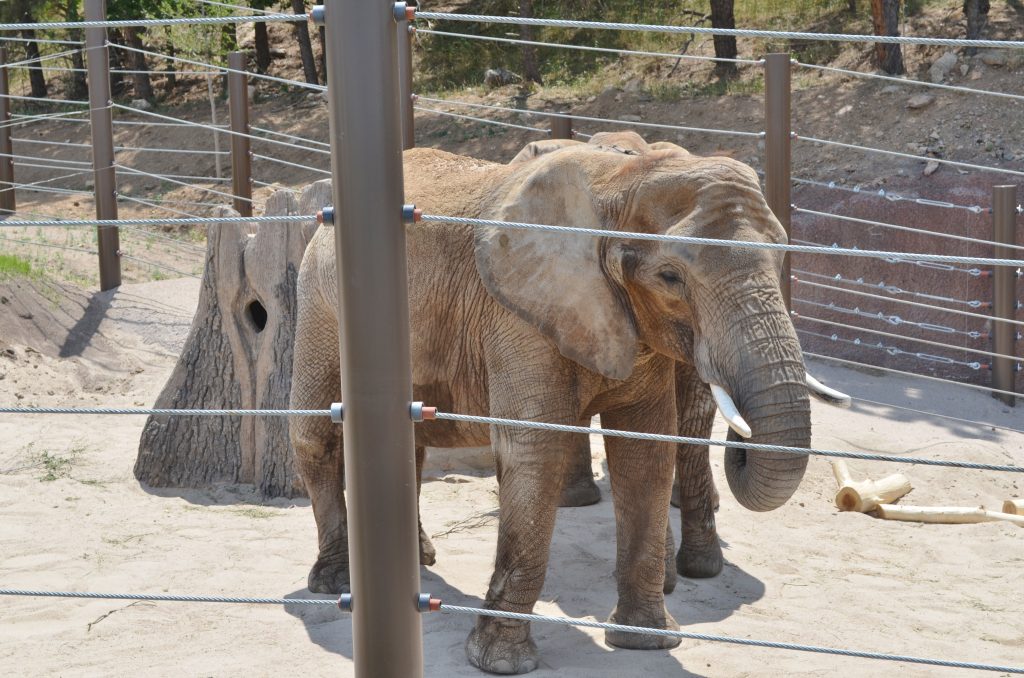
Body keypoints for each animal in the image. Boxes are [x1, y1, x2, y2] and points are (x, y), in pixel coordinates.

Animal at [290, 131, 847, 675]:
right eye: (670, 277)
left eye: (781, 258)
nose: (743, 438)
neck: (622, 182)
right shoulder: (516, 312)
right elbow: (536, 451)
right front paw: (501, 662)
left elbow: (646, 451)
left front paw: (646, 642)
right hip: (320, 297)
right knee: (316, 432)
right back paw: (335, 582)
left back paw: (420, 558)